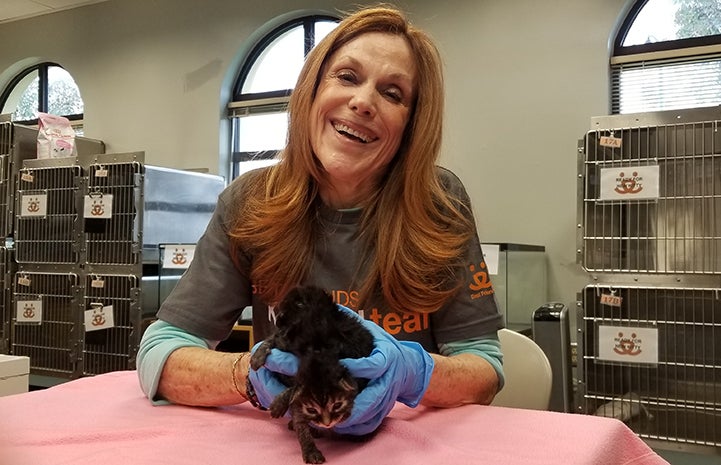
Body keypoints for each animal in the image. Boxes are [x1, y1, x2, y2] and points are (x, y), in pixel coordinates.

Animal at [250, 284, 374, 462]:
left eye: (300, 303)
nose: (279, 318)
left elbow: (300, 386)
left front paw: (279, 403)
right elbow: (272, 339)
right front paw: (257, 356)